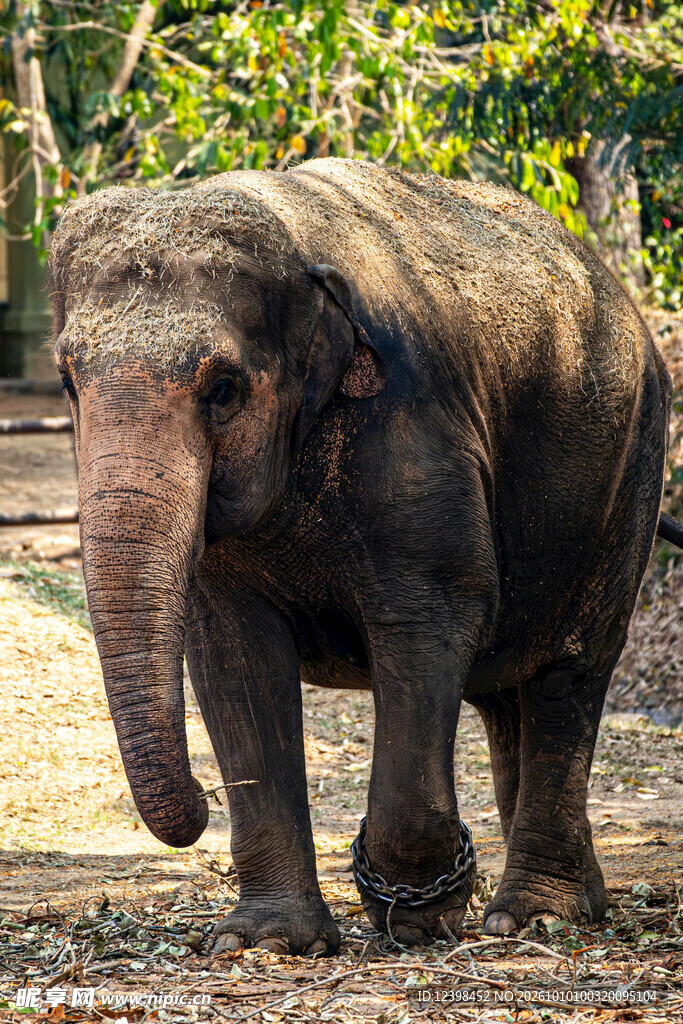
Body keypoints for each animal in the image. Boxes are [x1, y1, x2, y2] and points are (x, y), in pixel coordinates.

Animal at [49, 157, 673, 956]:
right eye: (67, 382)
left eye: (222, 388)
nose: (198, 807)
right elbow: (234, 654)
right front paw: (266, 942)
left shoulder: (412, 430)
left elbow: (430, 616)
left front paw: (419, 913)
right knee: (510, 696)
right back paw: (569, 905)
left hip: (627, 473)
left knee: (569, 672)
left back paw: (533, 918)